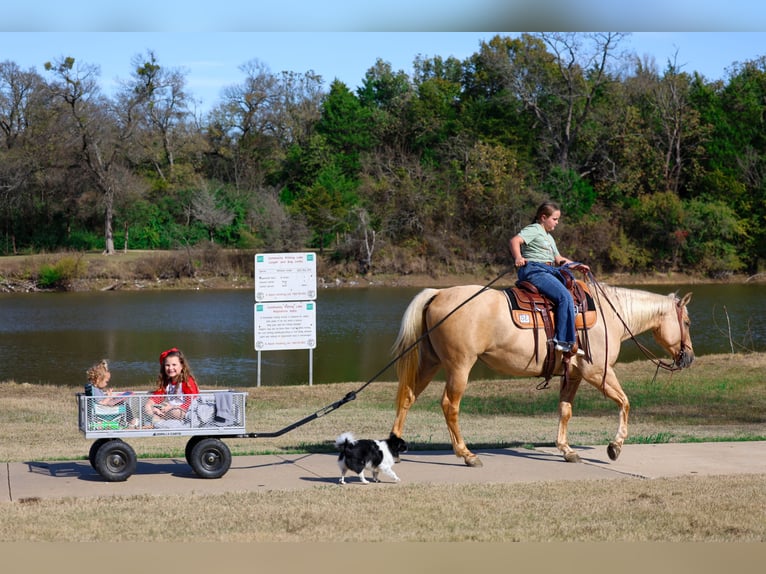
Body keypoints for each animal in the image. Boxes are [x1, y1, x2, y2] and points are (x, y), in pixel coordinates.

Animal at [390, 280, 694, 467]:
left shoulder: (574, 374)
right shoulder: (598, 372)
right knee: (449, 406)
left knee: (407, 397)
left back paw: (395, 449)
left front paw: (567, 450)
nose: (688, 357)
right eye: (688, 322)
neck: (609, 315)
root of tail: (439, 293)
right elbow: (625, 402)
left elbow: (565, 410)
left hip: (430, 362)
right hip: (459, 365)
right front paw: (614, 447)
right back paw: (466, 454)